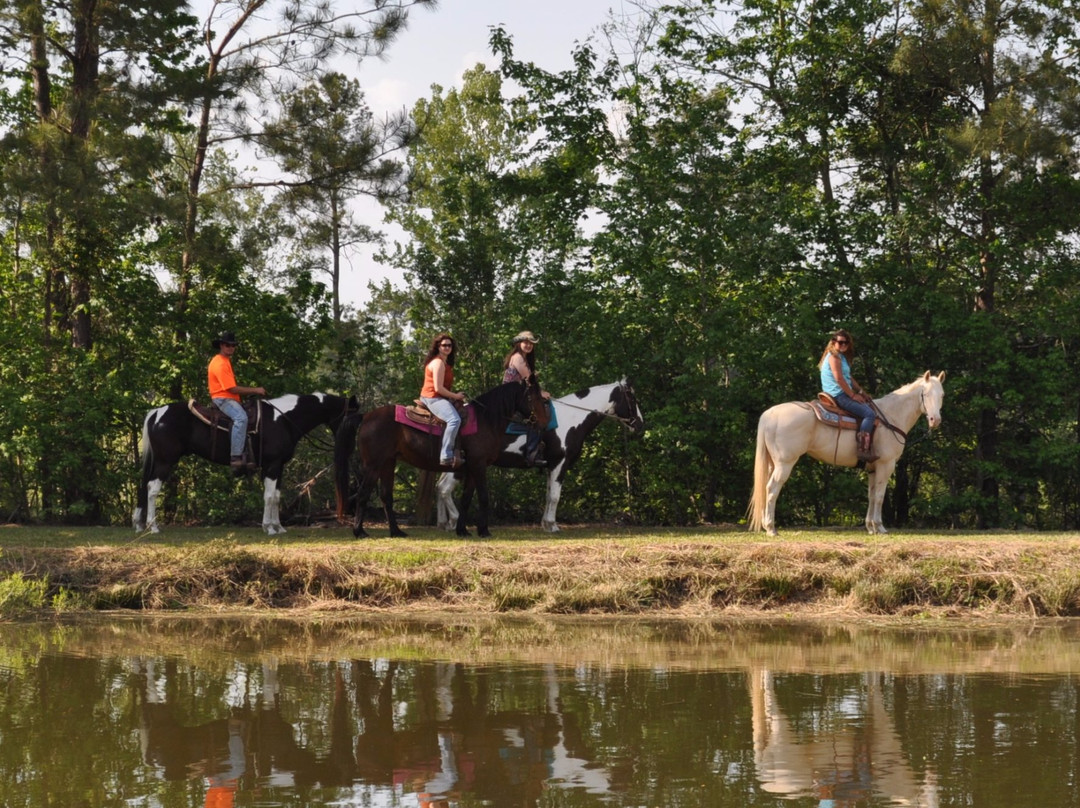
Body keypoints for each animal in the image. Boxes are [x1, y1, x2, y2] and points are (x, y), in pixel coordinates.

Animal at [132, 393, 356, 535]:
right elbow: (269, 496)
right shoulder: (272, 466)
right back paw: (153, 526)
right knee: (152, 488)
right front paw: (269, 528)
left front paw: (279, 527)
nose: (352, 444)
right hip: (165, 461)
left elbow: (276, 497)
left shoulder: (278, 467)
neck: (284, 419)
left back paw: (140, 524)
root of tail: (157, 412)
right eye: (354, 415)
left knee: (144, 486)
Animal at [330, 380, 552, 540]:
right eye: (531, 397)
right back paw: (360, 532)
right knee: (362, 494)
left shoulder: (471, 468)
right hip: (373, 465)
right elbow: (483, 497)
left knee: (386, 496)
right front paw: (483, 530)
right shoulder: (479, 465)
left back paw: (396, 531)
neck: (486, 420)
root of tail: (366, 416)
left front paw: (463, 530)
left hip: (388, 464)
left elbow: (466, 499)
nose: (544, 422)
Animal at [436, 380, 643, 533]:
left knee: (440, 487)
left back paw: (445, 523)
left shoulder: (551, 465)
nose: (640, 425)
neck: (572, 418)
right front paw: (553, 525)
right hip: (464, 466)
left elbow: (548, 494)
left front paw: (546, 524)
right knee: (445, 489)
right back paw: (453, 521)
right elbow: (555, 496)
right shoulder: (560, 463)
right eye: (632, 400)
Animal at [751, 371, 946, 535]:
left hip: (772, 463)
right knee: (772, 489)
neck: (890, 418)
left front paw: (870, 527)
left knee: (766, 487)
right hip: (785, 463)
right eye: (925, 394)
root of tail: (770, 414)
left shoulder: (873, 468)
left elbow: (871, 495)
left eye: (942, 395)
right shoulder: (886, 465)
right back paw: (771, 529)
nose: (935, 420)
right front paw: (880, 527)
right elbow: (880, 496)